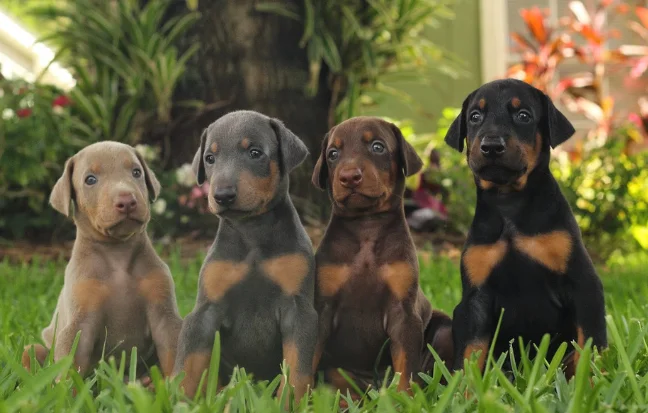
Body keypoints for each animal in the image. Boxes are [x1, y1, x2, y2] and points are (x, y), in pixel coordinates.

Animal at [21, 142, 182, 380]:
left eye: (136, 172)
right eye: (90, 179)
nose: (127, 201)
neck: (117, 254)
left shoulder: (163, 313)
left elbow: (174, 351)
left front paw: (180, 387)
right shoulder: (80, 321)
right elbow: (70, 367)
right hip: (34, 349)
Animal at [173, 110, 318, 406]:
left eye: (255, 152)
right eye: (210, 158)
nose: (222, 195)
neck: (252, 232)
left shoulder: (299, 311)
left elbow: (297, 372)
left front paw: (289, 405)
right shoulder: (205, 311)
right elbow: (187, 368)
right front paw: (176, 402)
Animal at [312, 116, 454, 396]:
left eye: (377, 147)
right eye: (333, 154)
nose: (349, 177)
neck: (366, 226)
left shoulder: (403, 312)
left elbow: (406, 369)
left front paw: (404, 399)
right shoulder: (322, 307)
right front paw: (289, 395)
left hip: (445, 330)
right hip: (340, 372)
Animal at [446, 78, 608, 376]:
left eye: (524, 116)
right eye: (474, 117)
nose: (491, 146)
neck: (509, 203)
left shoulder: (584, 284)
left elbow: (589, 347)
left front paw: (591, 381)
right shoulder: (474, 300)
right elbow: (469, 356)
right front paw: (463, 388)